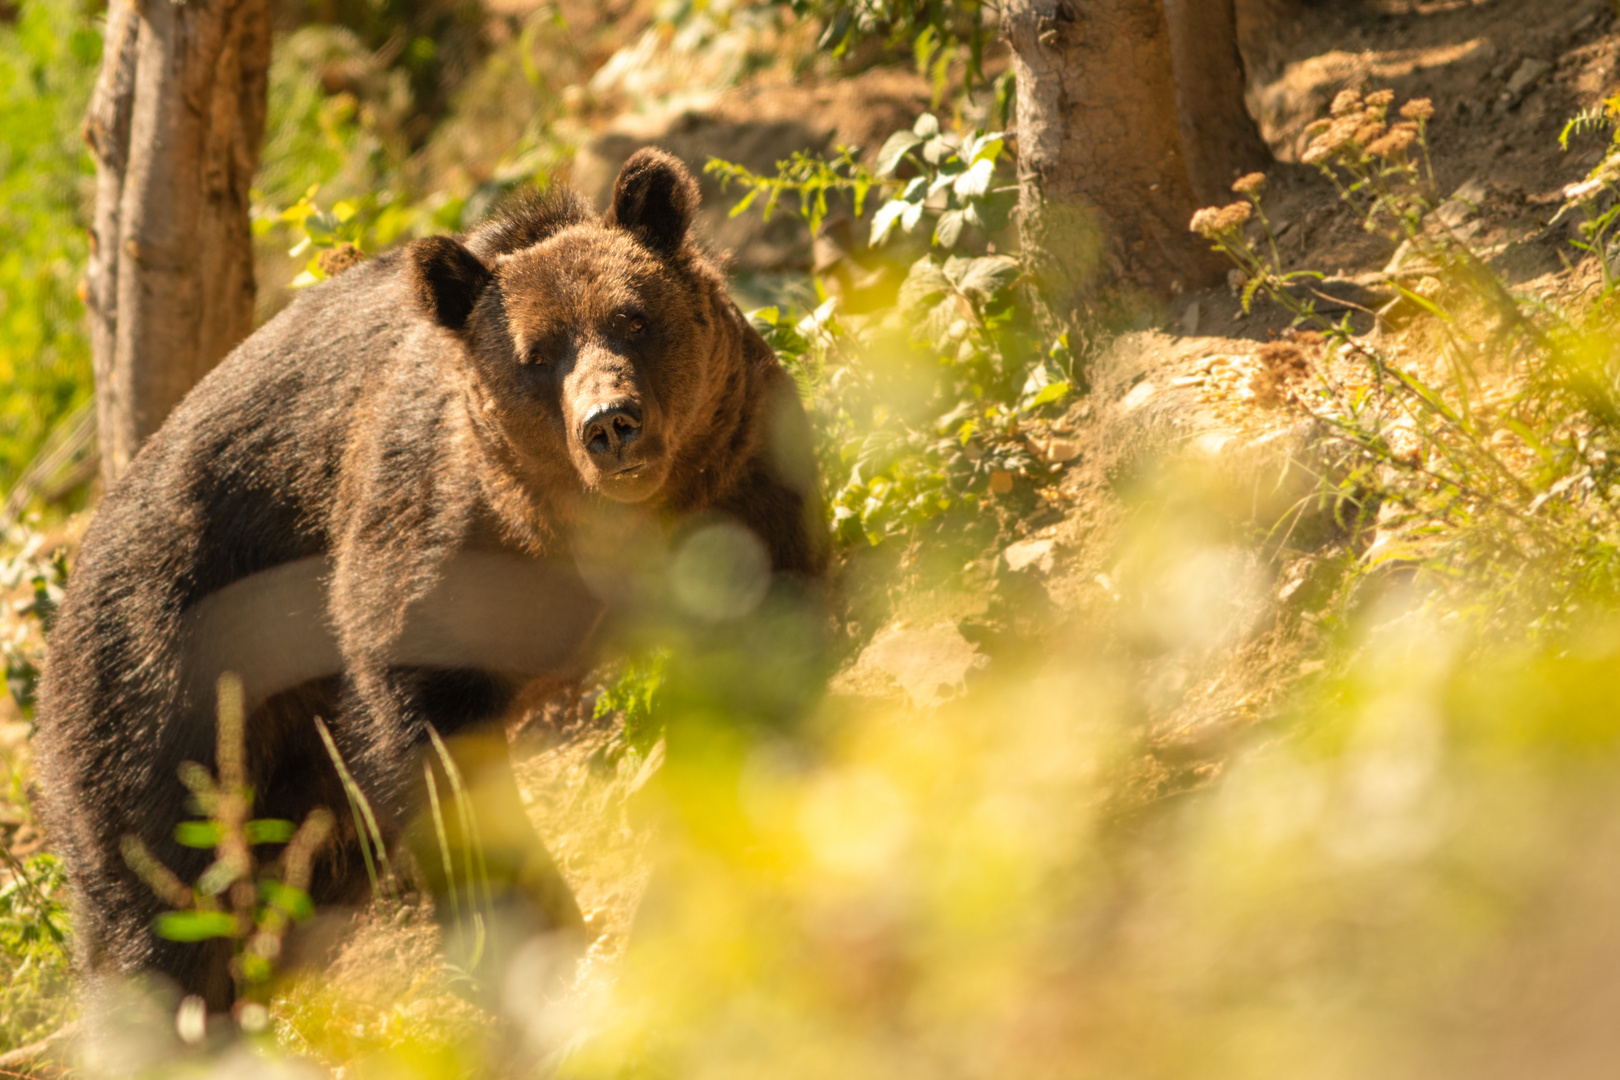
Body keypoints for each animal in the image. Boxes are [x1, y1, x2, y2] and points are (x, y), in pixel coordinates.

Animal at [31, 149, 829, 1016]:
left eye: (634, 319)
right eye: (536, 354)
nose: (611, 424)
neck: (582, 530)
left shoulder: (736, 475)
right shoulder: (435, 541)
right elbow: (436, 749)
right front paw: (530, 933)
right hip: (170, 684)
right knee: (164, 893)